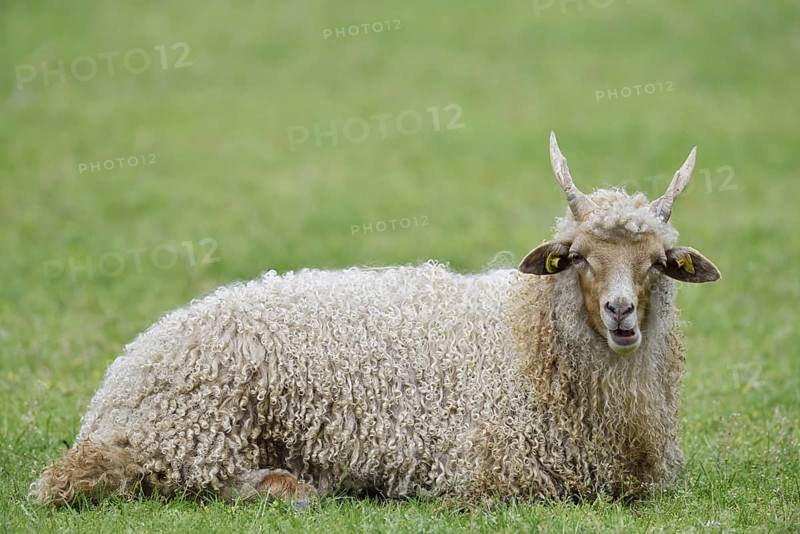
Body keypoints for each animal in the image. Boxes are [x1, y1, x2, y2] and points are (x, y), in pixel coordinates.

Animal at [32, 132, 721, 507]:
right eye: (576, 257)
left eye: (657, 263)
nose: (620, 311)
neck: (525, 338)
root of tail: (115, 396)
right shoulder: (491, 471)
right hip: (199, 432)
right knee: (186, 479)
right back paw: (289, 487)